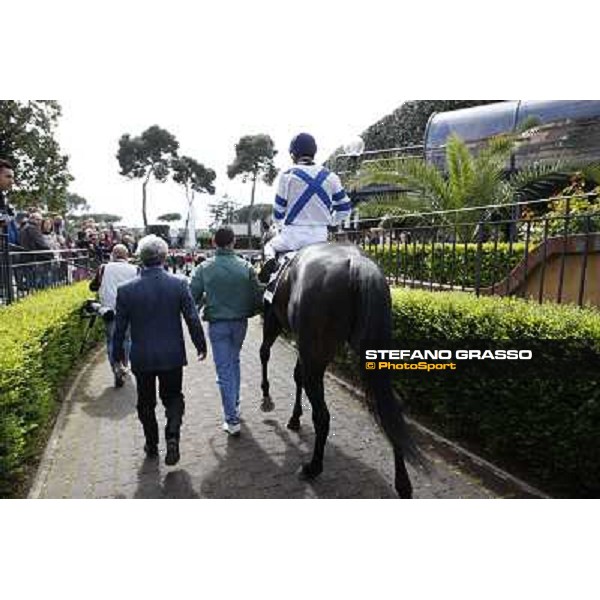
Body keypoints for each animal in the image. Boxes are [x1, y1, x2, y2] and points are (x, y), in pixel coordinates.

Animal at [260, 241, 420, 500]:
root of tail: (357, 263)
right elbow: (296, 375)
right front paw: (294, 418)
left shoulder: (274, 321)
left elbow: (266, 354)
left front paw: (267, 396)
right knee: (392, 405)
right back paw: (403, 483)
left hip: (315, 353)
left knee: (322, 414)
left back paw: (313, 467)